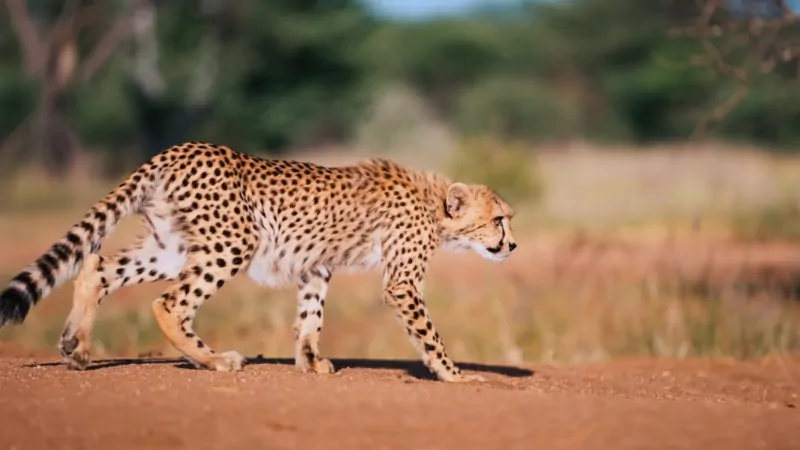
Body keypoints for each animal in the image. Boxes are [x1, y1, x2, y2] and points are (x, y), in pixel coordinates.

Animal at [0, 142, 517, 382]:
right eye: (499, 221)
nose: (512, 246)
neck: (435, 204)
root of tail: (181, 148)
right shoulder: (402, 283)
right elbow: (429, 334)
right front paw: (454, 374)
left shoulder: (317, 265)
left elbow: (310, 315)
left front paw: (309, 362)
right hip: (232, 242)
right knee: (169, 303)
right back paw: (213, 359)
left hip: (172, 246)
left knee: (96, 267)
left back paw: (78, 346)